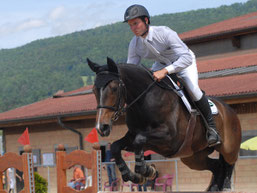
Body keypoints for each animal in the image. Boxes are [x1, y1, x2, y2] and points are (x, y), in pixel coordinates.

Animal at [87, 56, 241, 191]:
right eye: (94, 90)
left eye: (114, 88)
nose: (101, 127)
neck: (145, 100)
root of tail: (229, 110)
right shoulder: (134, 136)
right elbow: (116, 146)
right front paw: (134, 175)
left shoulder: (169, 138)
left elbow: (140, 140)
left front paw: (147, 170)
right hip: (193, 157)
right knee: (216, 166)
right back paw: (214, 188)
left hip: (228, 148)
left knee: (229, 163)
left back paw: (226, 186)